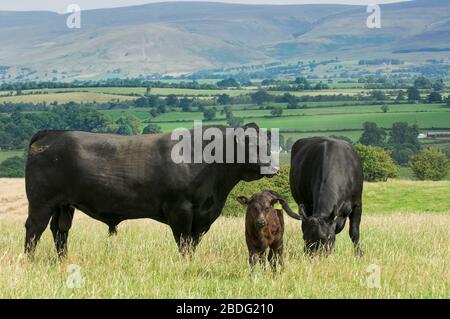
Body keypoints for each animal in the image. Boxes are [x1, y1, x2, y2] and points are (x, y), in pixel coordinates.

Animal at [24, 124, 280, 258]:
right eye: (251, 144)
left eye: (268, 144)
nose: (274, 168)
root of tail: (52, 133)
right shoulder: (180, 210)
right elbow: (183, 242)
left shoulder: (202, 217)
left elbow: (193, 243)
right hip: (41, 202)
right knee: (34, 229)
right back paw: (30, 260)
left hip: (63, 205)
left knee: (60, 231)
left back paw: (63, 261)